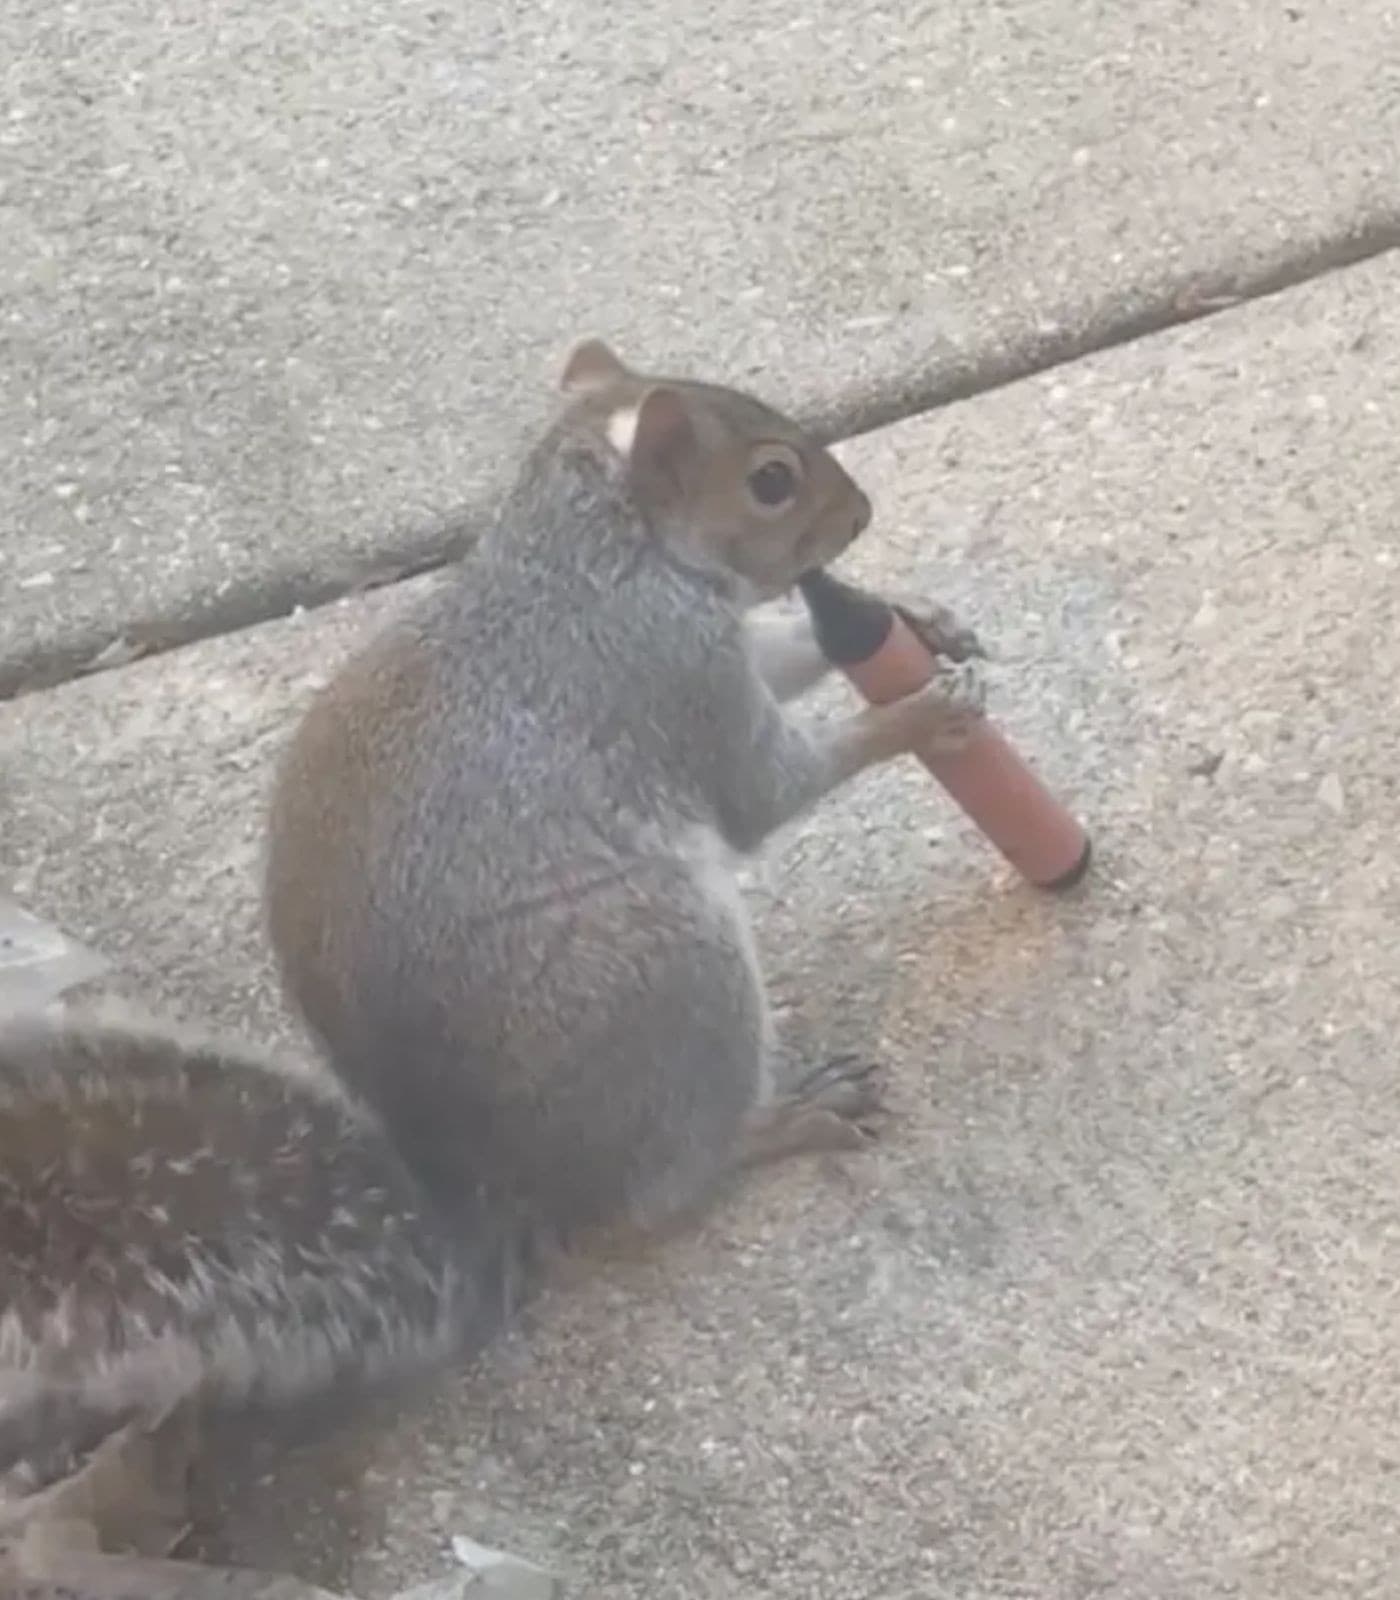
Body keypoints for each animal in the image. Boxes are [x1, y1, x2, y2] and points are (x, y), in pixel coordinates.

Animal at [0, 340, 984, 1598]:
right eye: (770, 479)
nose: (859, 517)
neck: (598, 551)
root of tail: (495, 1194)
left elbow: (789, 652)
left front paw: (913, 618)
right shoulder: (671, 681)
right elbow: (765, 788)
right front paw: (922, 715)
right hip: (663, 971)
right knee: (652, 1193)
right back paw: (782, 1119)